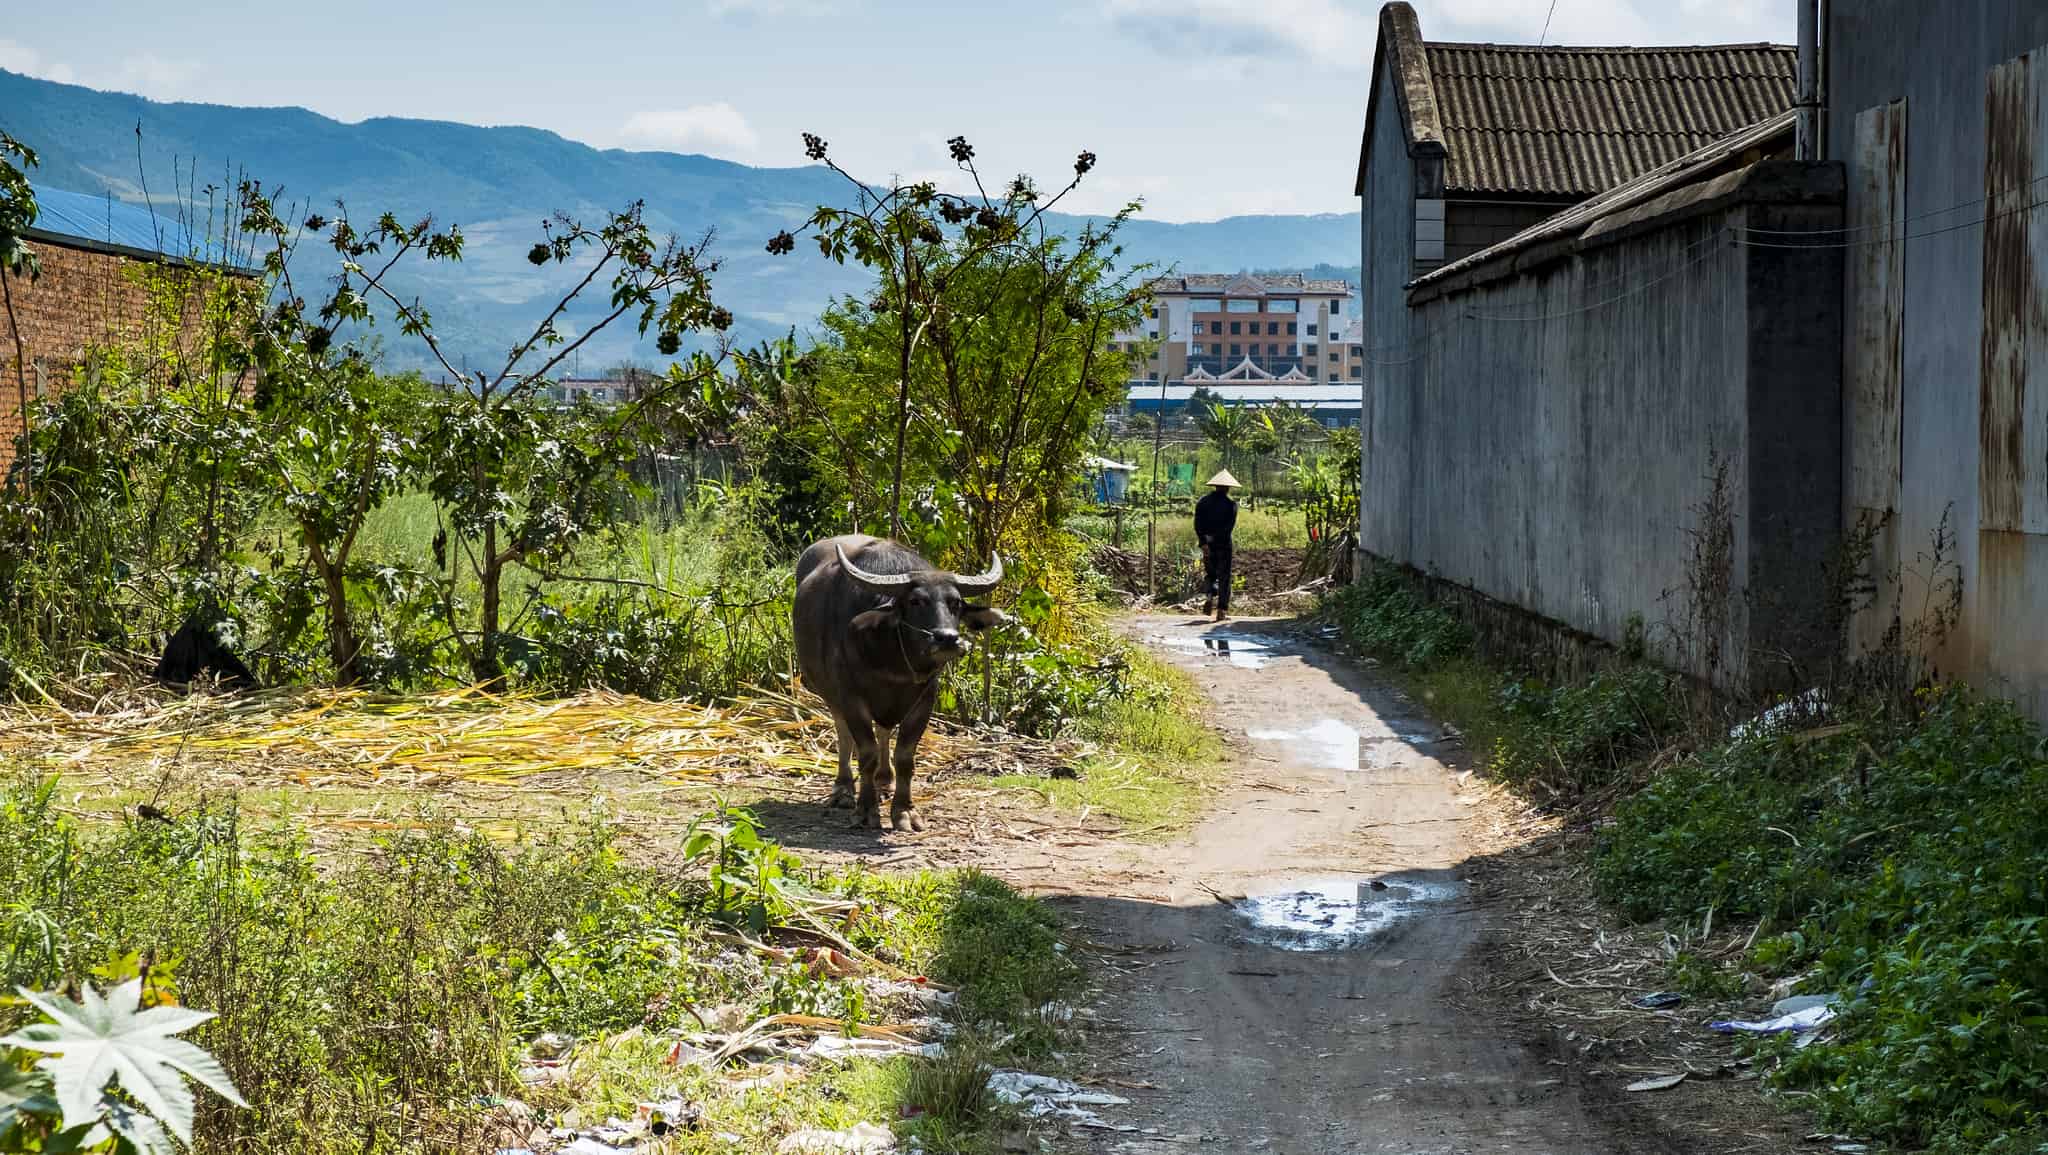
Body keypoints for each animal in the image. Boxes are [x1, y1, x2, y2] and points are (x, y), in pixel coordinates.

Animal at [786, 532, 1003, 831]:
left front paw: (904, 811)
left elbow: (905, 757)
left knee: (883, 731)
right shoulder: (851, 697)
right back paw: (843, 790)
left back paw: (884, 781)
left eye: (956, 602)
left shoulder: (925, 699)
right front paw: (866, 810)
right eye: (916, 601)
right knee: (843, 733)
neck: (893, 659)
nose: (947, 639)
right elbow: (865, 752)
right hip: (829, 692)